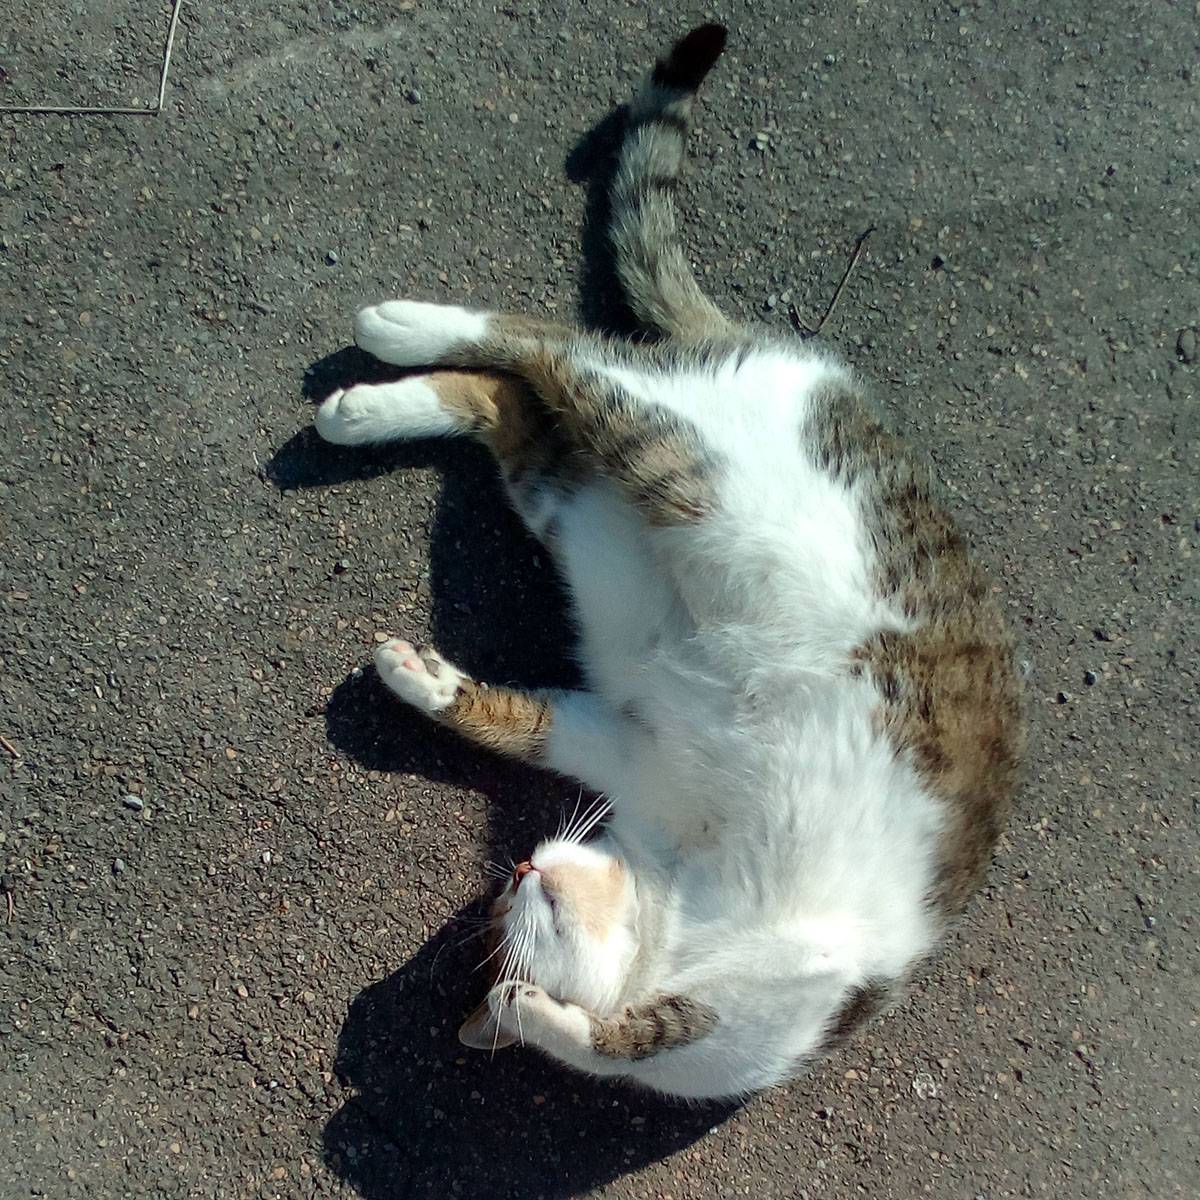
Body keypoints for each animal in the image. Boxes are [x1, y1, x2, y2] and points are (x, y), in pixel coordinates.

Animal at [313, 24, 1025, 1100]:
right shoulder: (622, 747)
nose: (520, 869)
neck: (674, 903)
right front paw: (418, 676)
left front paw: (530, 1014)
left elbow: (628, 1036)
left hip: (647, 486)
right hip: (628, 493)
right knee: (538, 366)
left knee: (538, 364)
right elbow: (518, 723)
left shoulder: (768, 978)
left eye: (496, 925)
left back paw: (383, 351)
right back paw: (382, 361)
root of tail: (797, 361)